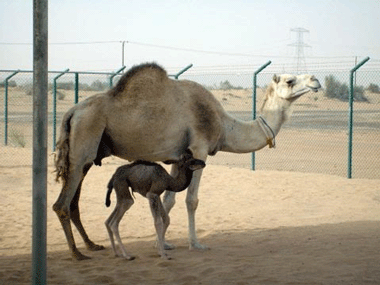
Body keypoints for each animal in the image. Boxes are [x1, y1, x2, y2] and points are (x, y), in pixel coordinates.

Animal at [53, 62, 320, 260]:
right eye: (289, 80)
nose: (315, 80)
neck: (223, 124)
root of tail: (72, 111)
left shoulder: (177, 157)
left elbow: (169, 200)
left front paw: (164, 244)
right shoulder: (199, 149)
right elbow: (191, 200)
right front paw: (195, 244)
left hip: (87, 156)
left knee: (74, 201)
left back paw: (91, 245)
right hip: (84, 143)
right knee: (62, 204)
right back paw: (77, 254)